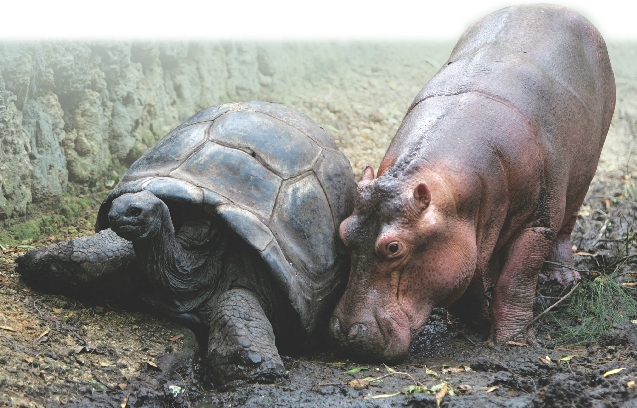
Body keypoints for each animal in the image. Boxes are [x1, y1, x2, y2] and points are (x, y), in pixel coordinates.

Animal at [328, 2, 612, 360]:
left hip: (583, 171)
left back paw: (561, 278)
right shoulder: (466, 234)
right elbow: (468, 279)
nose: (347, 331)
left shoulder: (537, 224)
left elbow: (516, 282)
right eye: (343, 232)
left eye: (394, 247)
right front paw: (476, 321)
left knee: (567, 224)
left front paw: (512, 341)